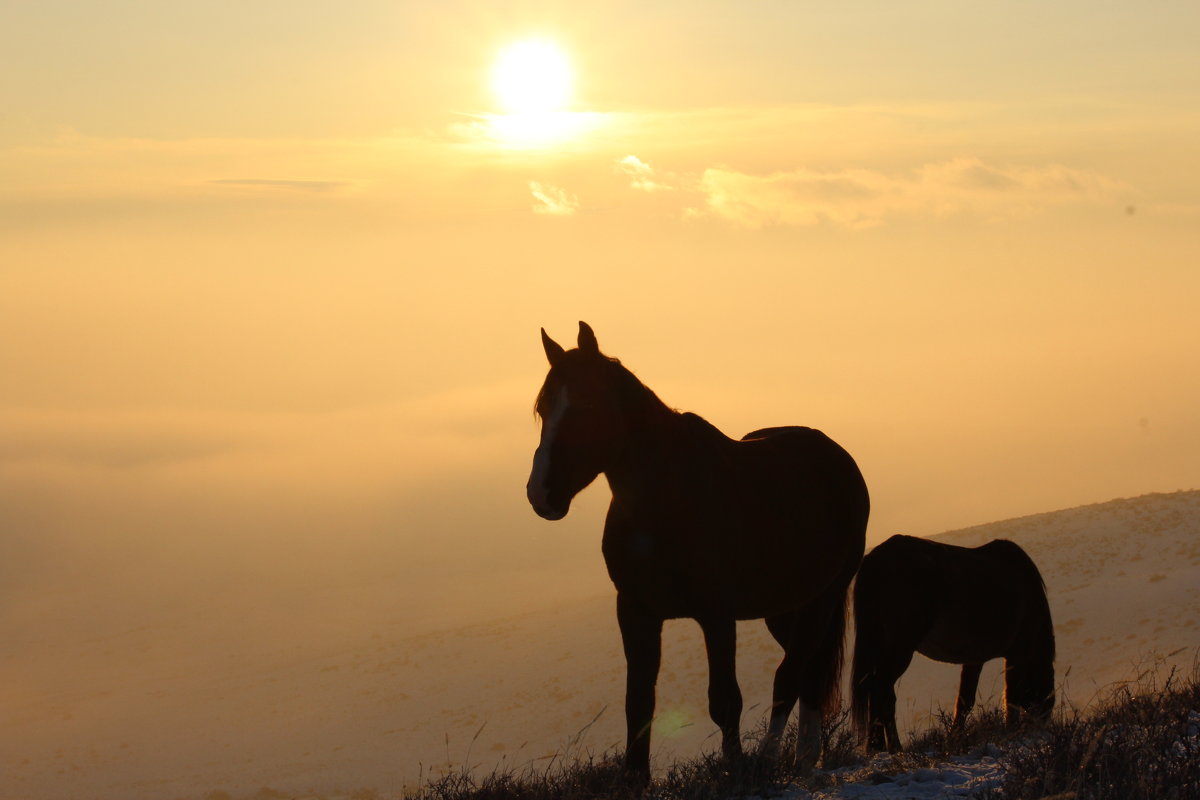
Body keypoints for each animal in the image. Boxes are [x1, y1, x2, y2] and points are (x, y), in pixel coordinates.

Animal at [530, 321, 868, 782]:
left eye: (585, 404)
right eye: (542, 408)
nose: (540, 494)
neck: (665, 500)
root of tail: (838, 458)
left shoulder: (717, 615)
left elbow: (725, 700)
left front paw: (735, 769)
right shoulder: (635, 611)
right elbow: (638, 703)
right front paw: (636, 780)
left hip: (824, 598)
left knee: (790, 674)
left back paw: (771, 760)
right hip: (785, 609)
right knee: (809, 670)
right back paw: (804, 758)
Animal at [849, 534, 1056, 753]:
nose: (1039, 728)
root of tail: (876, 560)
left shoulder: (975, 659)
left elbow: (965, 701)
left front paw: (954, 738)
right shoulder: (1016, 655)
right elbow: (1012, 697)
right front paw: (1010, 731)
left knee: (880, 692)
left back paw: (879, 746)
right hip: (899, 649)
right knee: (882, 691)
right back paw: (888, 747)